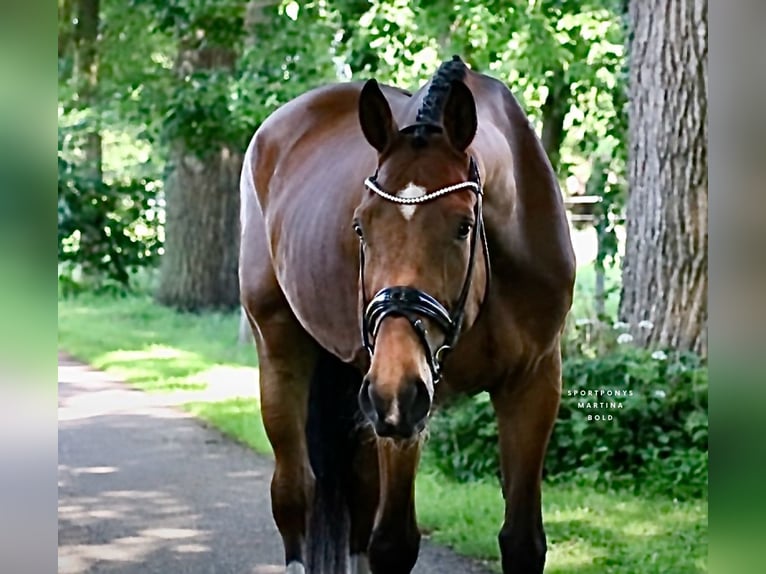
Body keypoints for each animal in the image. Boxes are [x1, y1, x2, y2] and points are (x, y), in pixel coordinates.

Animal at [239, 55, 576, 574]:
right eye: (360, 226)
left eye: (464, 226)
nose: (396, 391)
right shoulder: (399, 406)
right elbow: (393, 544)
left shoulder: (533, 385)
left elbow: (523, 542)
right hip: (284, 353)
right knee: (295, 495)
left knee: (357, 500)